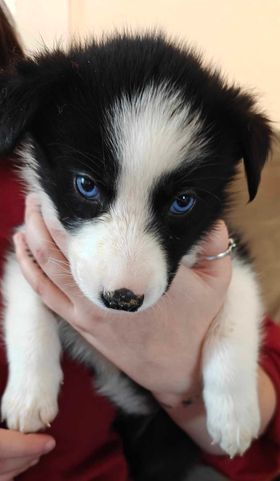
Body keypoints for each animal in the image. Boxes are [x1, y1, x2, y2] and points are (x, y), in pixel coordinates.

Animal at [0, 31, 272, 478]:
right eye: (86, 185)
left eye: (183, 202)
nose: (122, 300)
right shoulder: (29, 243)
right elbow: (26, 308)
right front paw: (28, 396)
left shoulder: (232, 253)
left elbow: (234, 321)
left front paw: (235, 416)